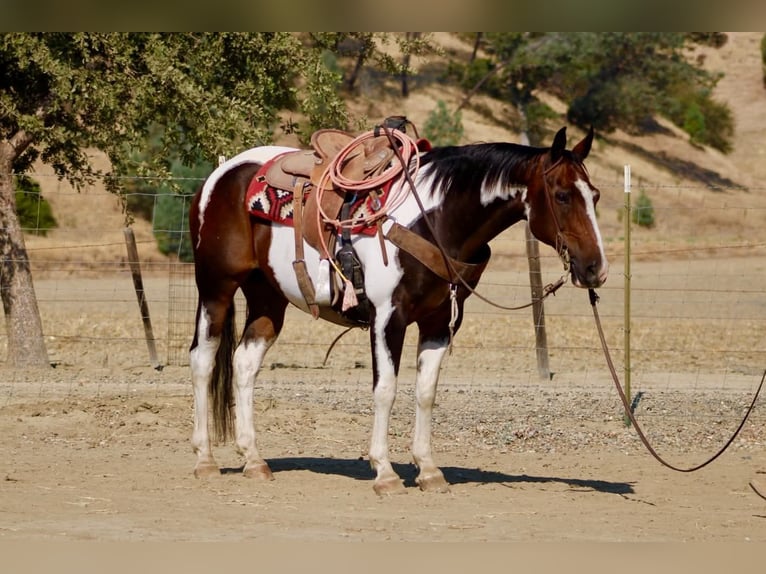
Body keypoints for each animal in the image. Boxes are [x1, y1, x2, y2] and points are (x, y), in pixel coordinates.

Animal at [188, 124, 608, 495]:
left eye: (596, 195)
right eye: (562, 195)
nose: (595, 269)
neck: (436, 220)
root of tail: (220, 175)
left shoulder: (440, 322)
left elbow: (425, 391)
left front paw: (429, 470)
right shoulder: (388, 319)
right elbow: (385, 389)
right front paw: (385, 473)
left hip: (267, 296)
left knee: (244, 363)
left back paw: (253, 460)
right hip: (216, 288)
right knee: (203, 360)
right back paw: (205, 460)